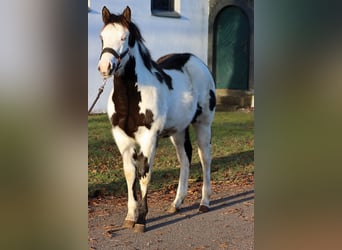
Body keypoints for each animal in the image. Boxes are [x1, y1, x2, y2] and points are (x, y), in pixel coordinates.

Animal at [97, 5, 215, 232]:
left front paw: (142, 220)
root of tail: (196, 61)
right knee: (185, 159)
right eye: (102, 37)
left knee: (205, 158)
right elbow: (130, 174)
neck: (130, 98)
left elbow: (144, 175)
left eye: (125, 37)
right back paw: (176, 203)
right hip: (178, 131)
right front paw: (130, 216)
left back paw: (204, 202)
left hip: (203, 124)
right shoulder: (123, 140)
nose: (105, 67)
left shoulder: (148, 139)